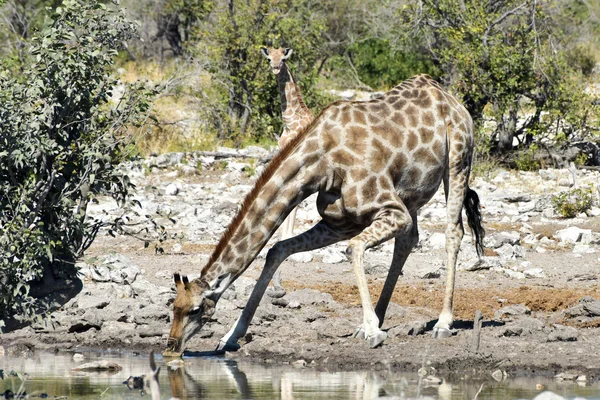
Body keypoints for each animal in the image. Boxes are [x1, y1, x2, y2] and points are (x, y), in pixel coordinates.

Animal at [163, 75, 482, 356]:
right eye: (173, 306)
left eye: (195, 310)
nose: (171, 347)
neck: (323, 163)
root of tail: (452, 99)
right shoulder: (339, 222)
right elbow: (277, 250)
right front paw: (230, 337)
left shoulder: (391, 211)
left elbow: (354, 248)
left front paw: (373, 331)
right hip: (411, 193)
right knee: (408, 240)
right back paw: (377, 319)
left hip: (458, 161)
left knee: (453, 232)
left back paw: (442, 322)